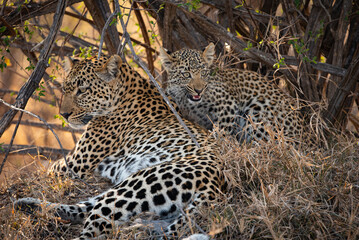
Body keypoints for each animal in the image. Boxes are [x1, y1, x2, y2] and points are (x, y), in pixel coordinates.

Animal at [16, 54, 228, 240]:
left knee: (93, 228)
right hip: (125, 189)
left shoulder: (75, 164)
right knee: (85, 209)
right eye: (65, 89)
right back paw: (29, 205)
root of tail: (217, 185)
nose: (64, 114)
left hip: (137, 184)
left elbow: (47, 169)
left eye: (82, 90)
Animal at [160, 42, 310, 145]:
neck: (186, 100)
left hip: (257, 110)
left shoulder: (228, 104)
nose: (199, 90)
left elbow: (222, 130)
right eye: (186, 74)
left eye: (203, 73)